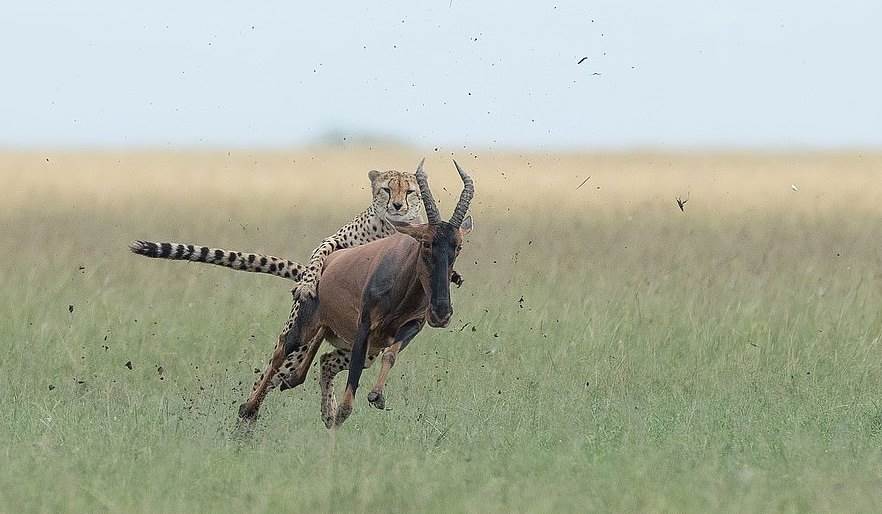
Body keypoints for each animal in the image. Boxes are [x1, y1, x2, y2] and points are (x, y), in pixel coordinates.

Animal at [237, 159, 474, 427]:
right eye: (425, 242)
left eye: (458, 246)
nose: (441, 313)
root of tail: (331, 261)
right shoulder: (364, 327)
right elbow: (349, 395)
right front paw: (342, 414)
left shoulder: (410, 327)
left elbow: (390, 355)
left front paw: (376, 396)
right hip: (305, 326)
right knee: (281, 349)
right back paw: (248, 408)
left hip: (335, 330)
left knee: (314, 363)